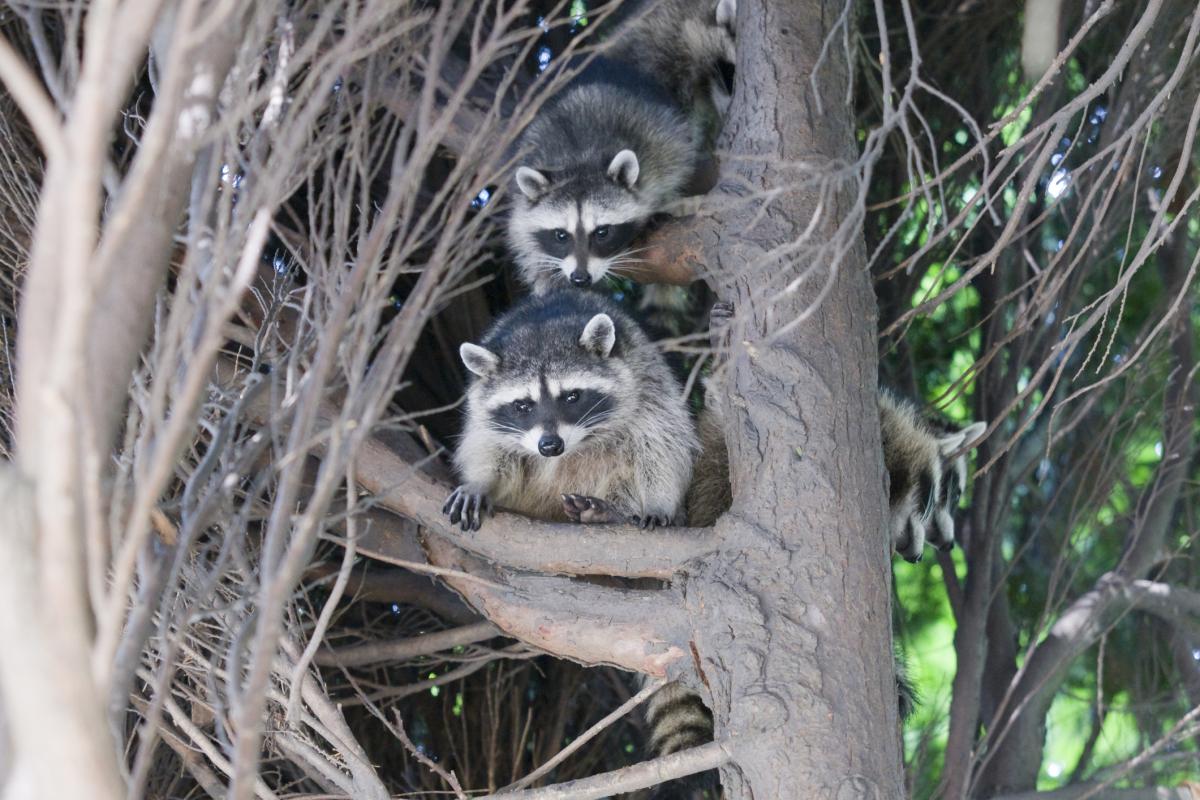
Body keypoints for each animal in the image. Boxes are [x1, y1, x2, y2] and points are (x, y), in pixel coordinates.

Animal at [443, 289, 698, 531]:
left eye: (572, 396)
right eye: (522, 405)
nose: (550, 445)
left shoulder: (647, 384)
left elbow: (662, 446)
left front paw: (658, 501)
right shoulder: (483, 412)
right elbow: (488, 447)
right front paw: (480, 481)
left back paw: (610, 513)